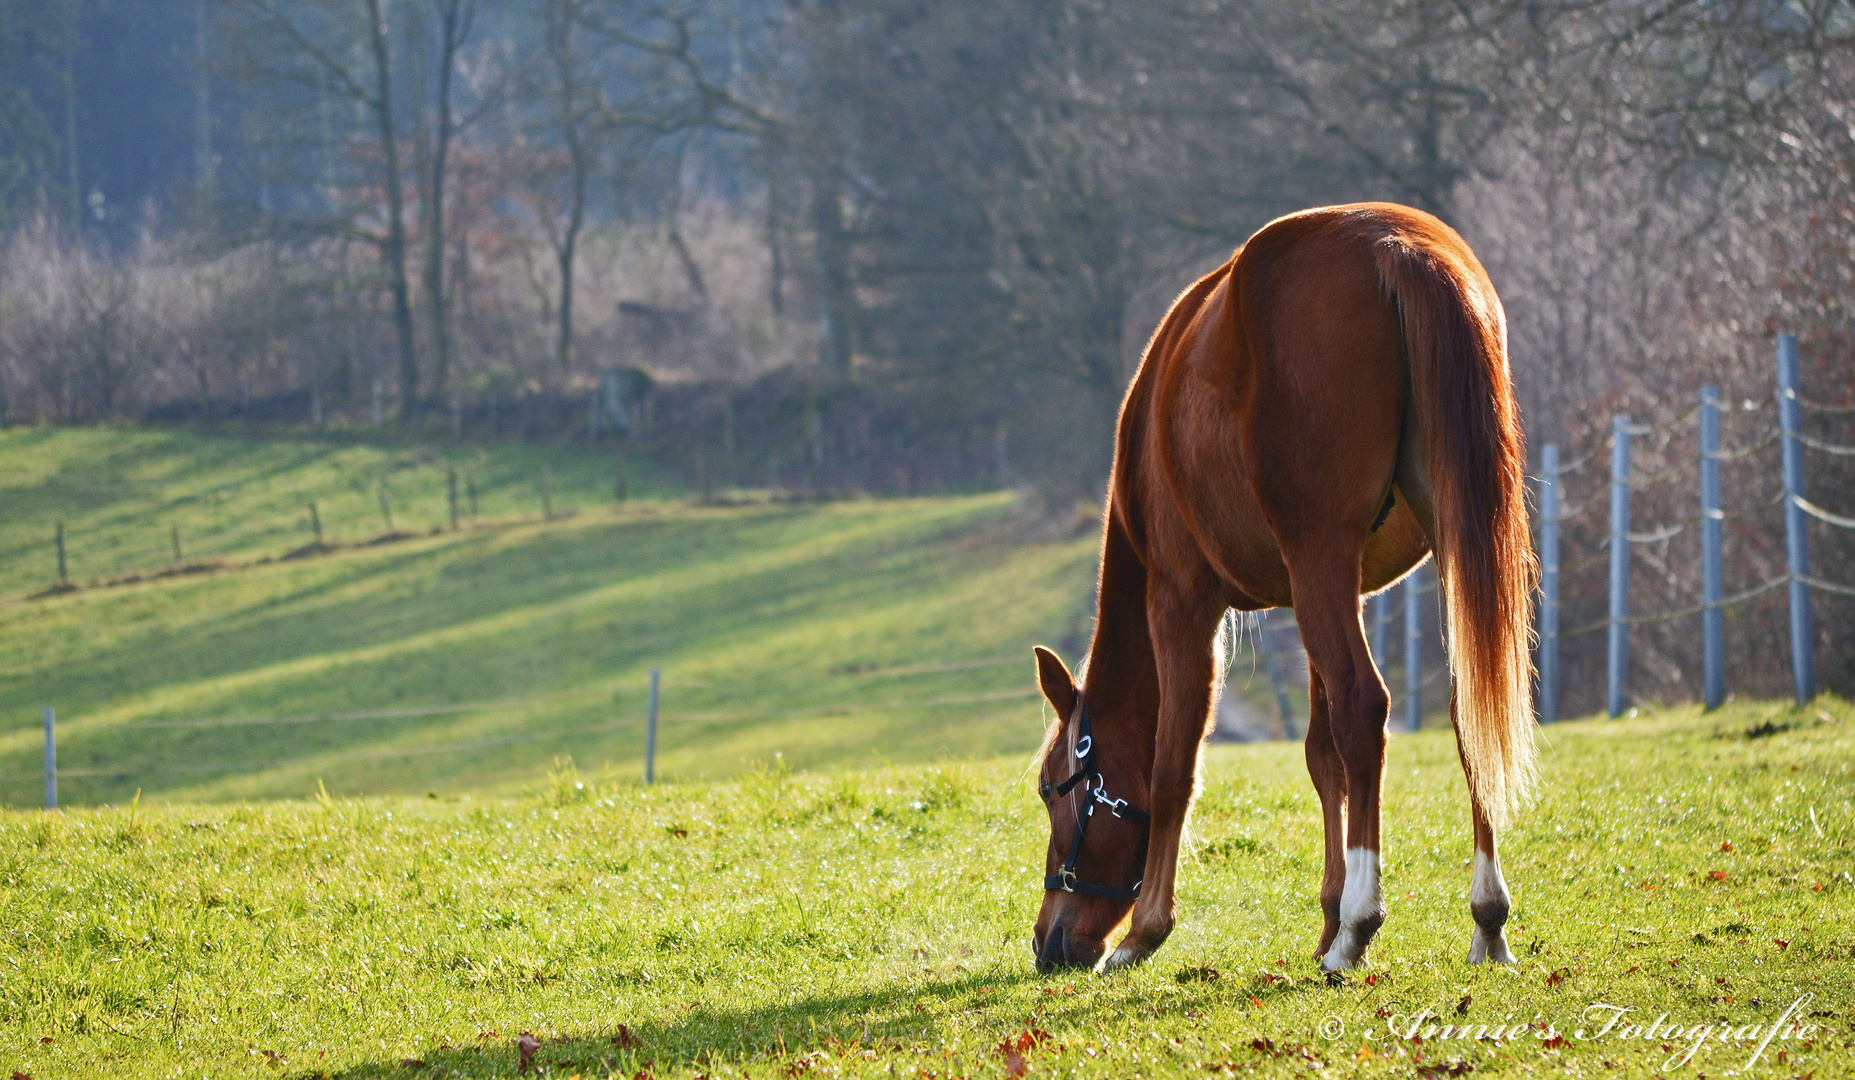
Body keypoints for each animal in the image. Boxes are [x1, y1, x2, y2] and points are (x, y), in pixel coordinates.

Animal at [1031, 201, 1535, 972]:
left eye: (1053, 790)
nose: (1047, 941)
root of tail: (1395, 245)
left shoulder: (1182, 599)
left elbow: (1175, 763)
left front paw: (1149, 929)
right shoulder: (1326, 590)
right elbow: (1323, 758)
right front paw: (1326, 912)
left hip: (1317, 551)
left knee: (1364, 705)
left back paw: (1360, 923)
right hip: (1433, 542)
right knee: (1466, 710)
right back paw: (1484, 915)